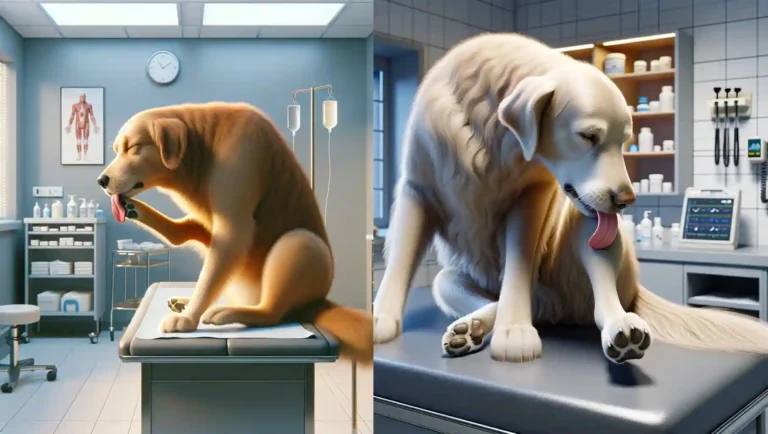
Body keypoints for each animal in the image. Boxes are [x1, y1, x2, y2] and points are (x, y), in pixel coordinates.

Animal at [99, 102, 376, 362]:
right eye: (117, 150)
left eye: (134, 148)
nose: (101, 181)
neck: (203, 145)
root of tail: (318, 303)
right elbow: (186, 238)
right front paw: (133, 209)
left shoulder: (241, 163)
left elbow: (218, 261)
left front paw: (188, 320)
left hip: (301, 244)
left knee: (272, 311)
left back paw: (226, 312)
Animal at [374, 33, 768, 362]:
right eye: (589, 136)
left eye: (626, 141)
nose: (627, 200)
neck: (490, 135)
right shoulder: (416, 189)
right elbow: (399, 262)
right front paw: (380, 318)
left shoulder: (532, 196)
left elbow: (518, 268)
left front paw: (514, 331)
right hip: (448, 280)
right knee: (506, 298)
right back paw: (470, 328)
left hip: (589, 232)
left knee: (591, 301)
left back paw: (621, 329)